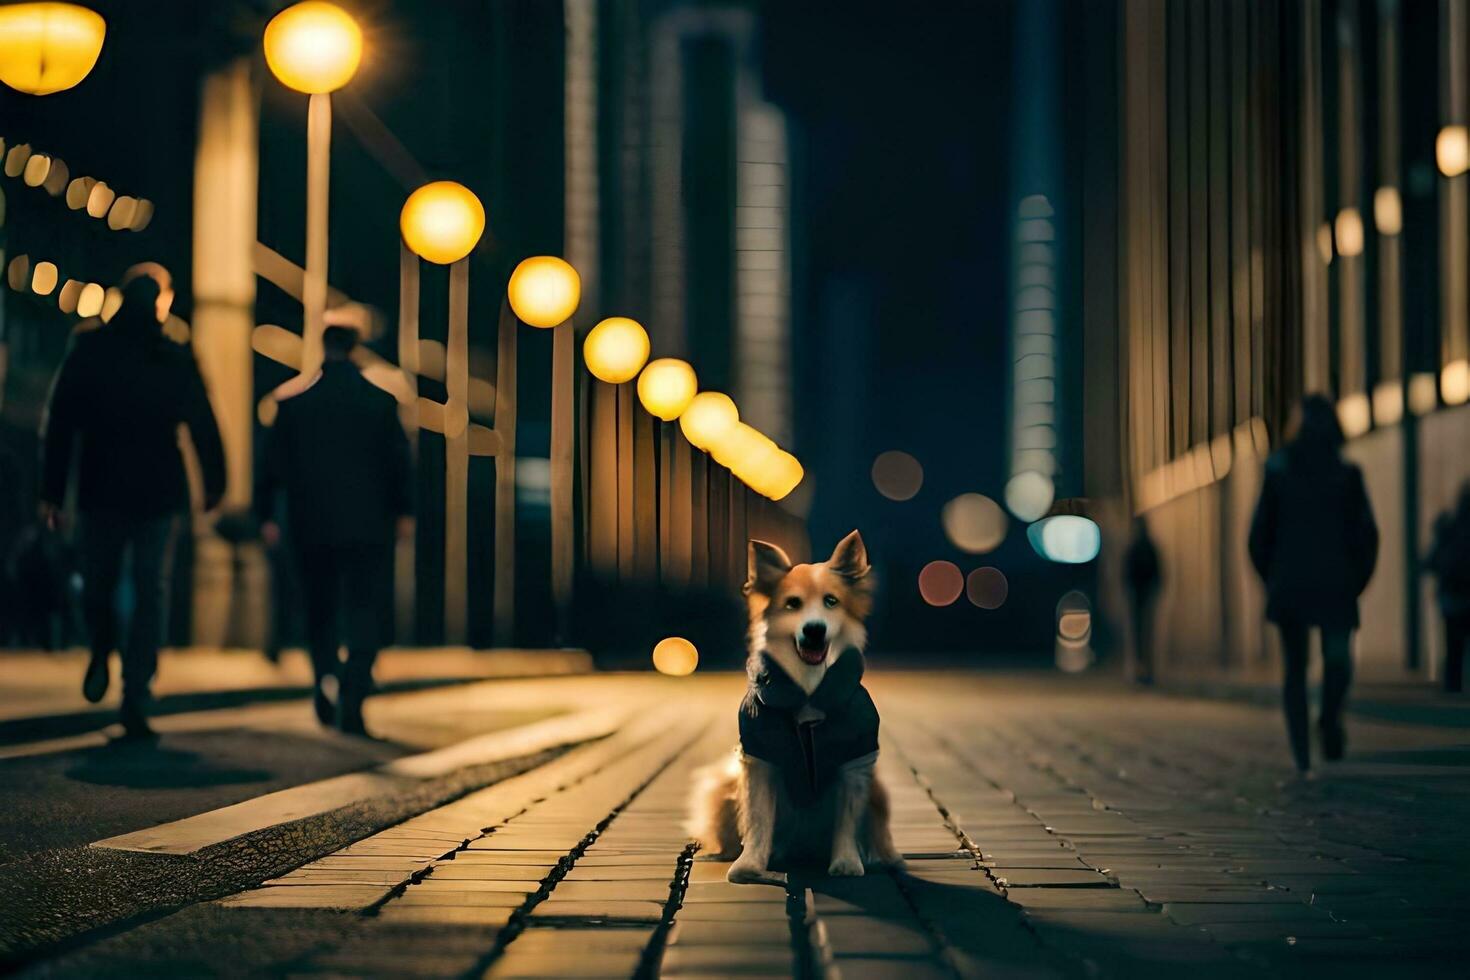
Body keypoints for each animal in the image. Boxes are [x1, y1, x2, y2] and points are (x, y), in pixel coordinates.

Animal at [685, 531, 893, 887]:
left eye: (831, 601)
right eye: (793, 604)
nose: (814, 629)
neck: (808, 692)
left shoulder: (856, 759)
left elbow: (847, 819)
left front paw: (847, 862)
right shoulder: (759, 757)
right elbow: (757, 819)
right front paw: (749, 867)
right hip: (724, 784)